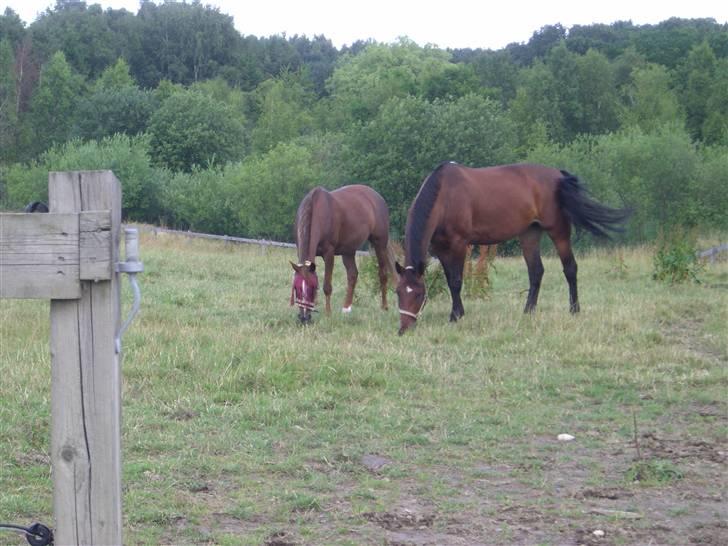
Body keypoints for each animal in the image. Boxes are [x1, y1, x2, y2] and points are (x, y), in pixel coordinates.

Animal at [288, 185, 396, 320]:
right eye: (296, 288)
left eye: (311, 288)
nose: (304, 317)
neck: (318, 211)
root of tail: (378, 197)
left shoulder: (329, 253)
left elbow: (327, 286)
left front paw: (328, 313)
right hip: (348, 250)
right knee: (353, 274)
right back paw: (346, 308)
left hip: (379, 243)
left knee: (382, 274)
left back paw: (384, 307)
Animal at [396, 159, 628, 334]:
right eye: (398, 292)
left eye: (418, 294)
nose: (403, 329)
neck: (445, 196)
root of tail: (559, 176)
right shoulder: (441, 249)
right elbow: (450, 280)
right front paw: (455, 313)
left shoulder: (460, 244)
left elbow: (455, 281)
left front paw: (456, 316)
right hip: (530, 234)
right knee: (536, 272)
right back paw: (528, 311)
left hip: (558, 231)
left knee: (570, 268)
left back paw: (574, 310)